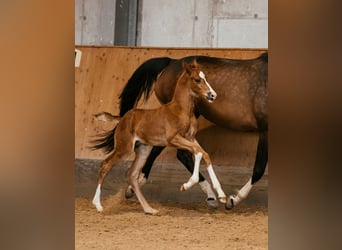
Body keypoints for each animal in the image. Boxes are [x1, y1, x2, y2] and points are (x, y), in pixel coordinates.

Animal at [91, 60, 226, 215]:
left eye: (206, 78)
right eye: (197, 80)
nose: (212, 95)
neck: (181, 110)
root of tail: (122, 119)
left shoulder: (190, 138)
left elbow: (204, 154)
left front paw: (222, 195)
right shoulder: (173, 139)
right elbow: (198, 152)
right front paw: (186, 185)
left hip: (143, 149)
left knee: (132, 174)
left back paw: (149, 209)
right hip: (124, 147)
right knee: (105, 165)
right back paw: (98, 205)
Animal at [119, 52, 268, 209]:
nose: (213, 94)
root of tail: (171, 62)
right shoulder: (265, 130)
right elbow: (259, 168)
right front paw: (233, 199)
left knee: (162, 150)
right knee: (180, 154)